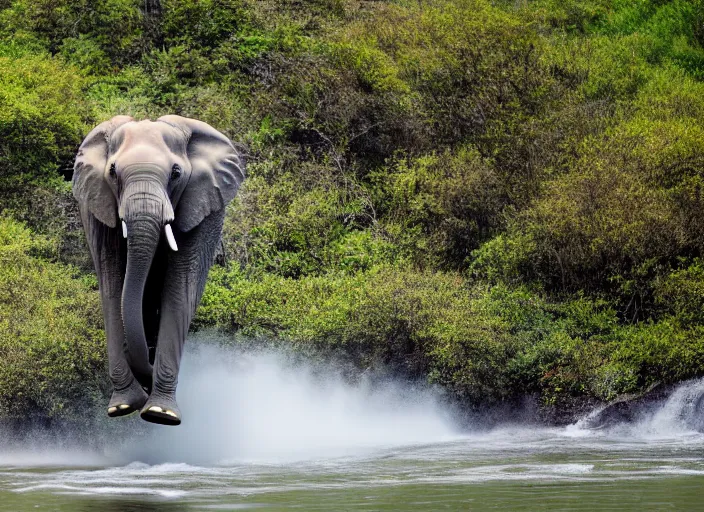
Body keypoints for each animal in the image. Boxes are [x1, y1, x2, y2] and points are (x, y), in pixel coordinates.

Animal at [73, 115, 246, 424]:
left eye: (176, 173)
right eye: (113, 172)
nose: (147, 375)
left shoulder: (202, 204)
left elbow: (180, 288)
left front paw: (160, 413)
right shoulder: (97, 205)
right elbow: (112, 285)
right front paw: (123, 407)